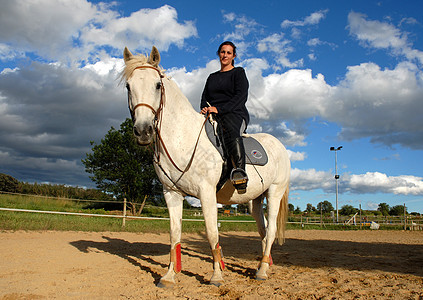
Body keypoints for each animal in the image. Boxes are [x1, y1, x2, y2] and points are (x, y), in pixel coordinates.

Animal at [121, 46, 290, 286]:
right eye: (129, 86)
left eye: (157, 85)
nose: (143, 131)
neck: (184, 137)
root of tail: (279, 145)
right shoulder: (171, 193)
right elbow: (174, 234)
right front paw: (169, 276)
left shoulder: (206, 193)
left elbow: (212, 233)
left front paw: (217, 275)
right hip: (255, 200)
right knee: (263, 230)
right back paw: (265, 264)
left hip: (275, 192)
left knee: (273, 229)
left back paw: (263, 271)